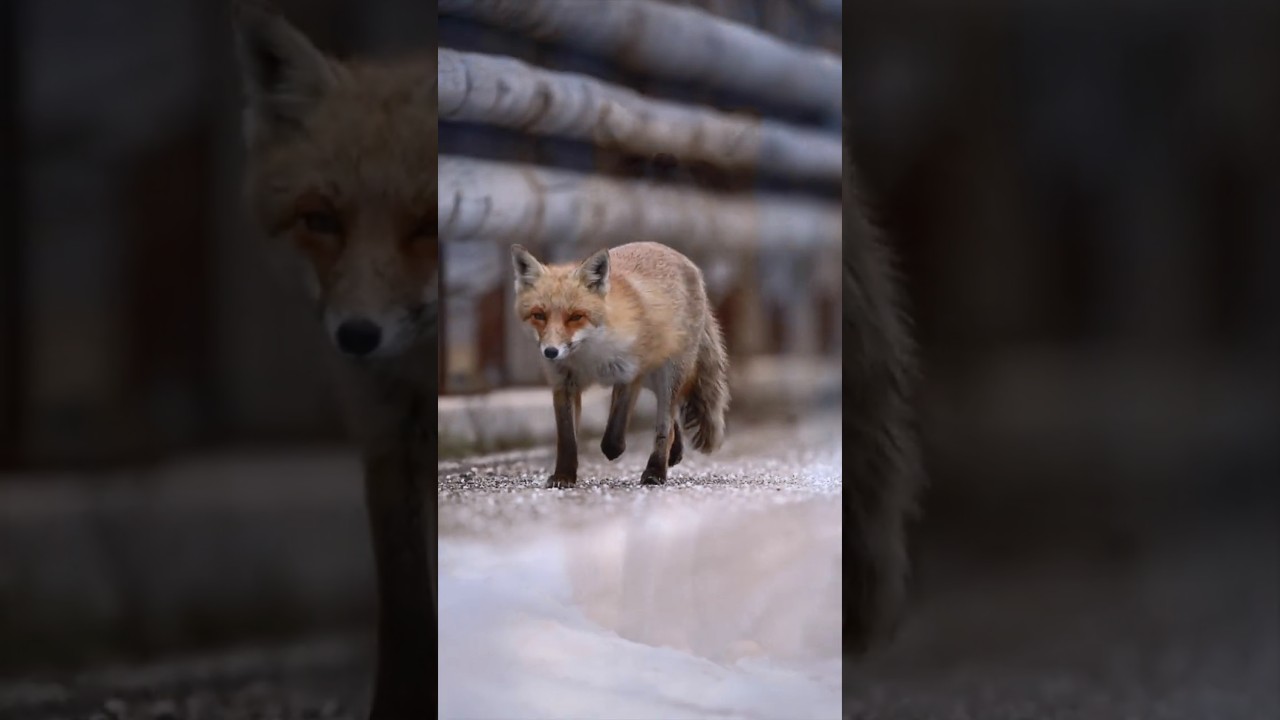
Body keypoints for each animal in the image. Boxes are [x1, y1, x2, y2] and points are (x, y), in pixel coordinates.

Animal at [510, 241, 730, 488]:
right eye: (539, 315)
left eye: (576, 316)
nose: (550, 352)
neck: (590, 356)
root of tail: (685, 261)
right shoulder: (563, 383)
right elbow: (567, 439)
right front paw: (563, 476)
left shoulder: (630, 373)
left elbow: (615, 430)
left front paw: (614, 450)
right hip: (653, 379)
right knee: (674, 419)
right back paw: (674, 453)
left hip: (668, 374)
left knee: (665, 424)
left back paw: (655, 471)